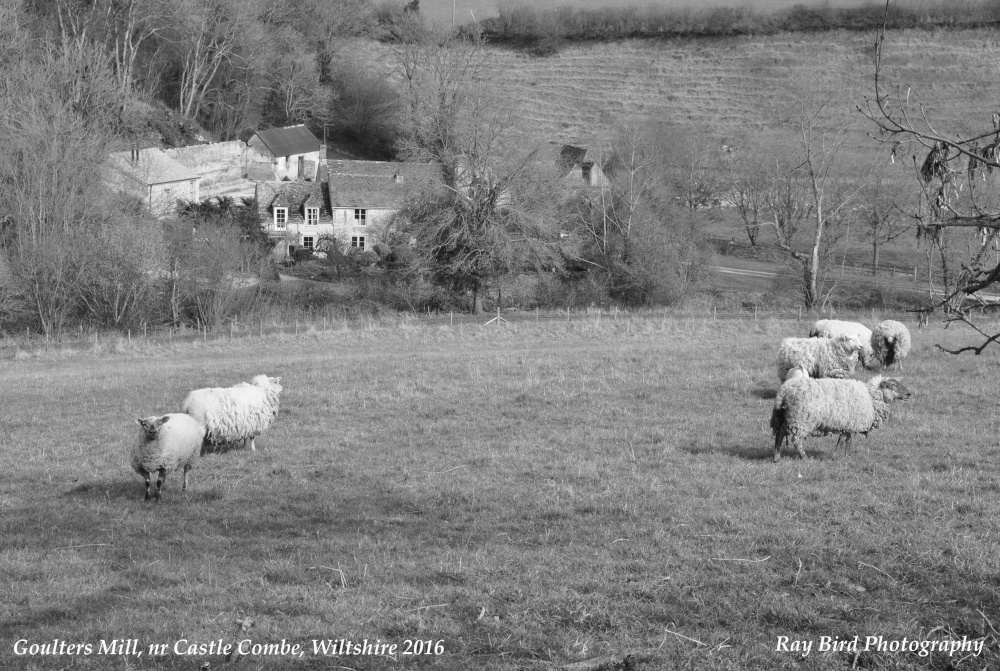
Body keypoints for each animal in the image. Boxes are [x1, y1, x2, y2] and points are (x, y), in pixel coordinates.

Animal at [768, 372, 912, 462]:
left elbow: (846, 440)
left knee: (780, 434)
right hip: (801, 420)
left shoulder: (848, 425)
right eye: (893, 386)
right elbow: (844, 441)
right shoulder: (850, 423)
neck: (870, 398)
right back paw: (805, 458)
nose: (909, 394)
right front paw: (836, 456)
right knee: (796, 441)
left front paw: (845, 456)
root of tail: (784, 391)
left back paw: (776, 457)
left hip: (784, 417)